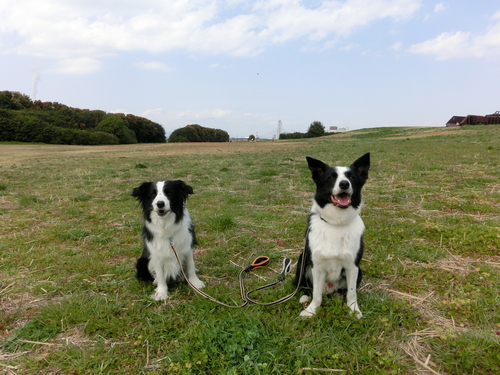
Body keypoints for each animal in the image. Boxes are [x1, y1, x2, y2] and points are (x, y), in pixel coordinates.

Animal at [292, 154, 372, 318]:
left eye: (351, 177)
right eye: (330, 177)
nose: (344, 184)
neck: (336, 224)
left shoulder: (352, 266)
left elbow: (351, 293)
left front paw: (354, 310)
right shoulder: (317, 266)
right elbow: (316, 294)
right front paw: (311, 311)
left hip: (359, 271)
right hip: (302, 261)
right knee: (305, 287)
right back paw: (304, 297)